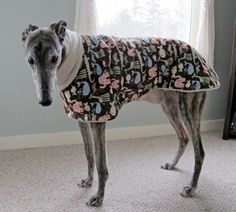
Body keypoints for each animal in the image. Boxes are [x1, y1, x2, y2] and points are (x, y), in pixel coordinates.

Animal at [21, 20, 219, 206]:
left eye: (54, 58)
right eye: (30, 61)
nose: (45, 101)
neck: (72, 56)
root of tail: (197, 51)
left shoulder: (98, 118)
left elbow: (101, 164)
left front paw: (98, 198)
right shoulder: (82, 117)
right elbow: (88, 154)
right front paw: (88, 181)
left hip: (189, 105)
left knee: (200, 151)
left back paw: (191, 187)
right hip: (169, 105)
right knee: (183, 137)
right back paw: (172, 164)